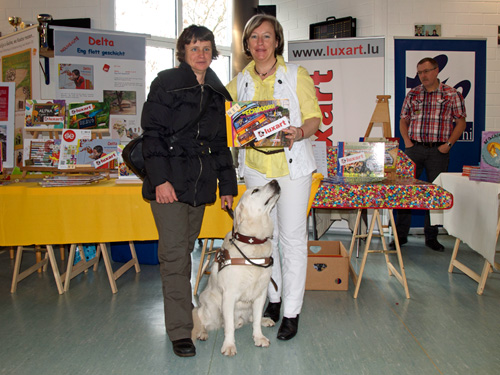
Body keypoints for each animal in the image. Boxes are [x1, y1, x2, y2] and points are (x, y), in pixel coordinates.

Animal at [193, 181, 282, 356]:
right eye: (255, 190)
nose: (275, 181)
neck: (253, 241)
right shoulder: (229, 296)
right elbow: (228, 327)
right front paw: (229, 345)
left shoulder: (261, 294)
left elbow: (255, 322)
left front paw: (259, 337)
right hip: (212, 306)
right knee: (202, 318)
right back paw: (202, 333)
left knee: (252, 319)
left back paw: (264, 320)